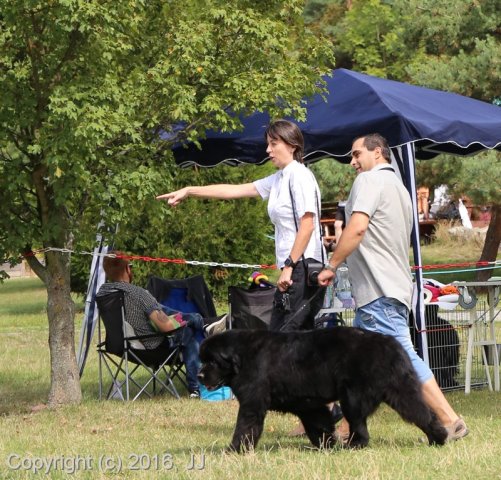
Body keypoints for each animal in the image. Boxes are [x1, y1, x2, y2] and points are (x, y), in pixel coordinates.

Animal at [196, 324, 446, 452]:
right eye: (203, 360)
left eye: (212, 361)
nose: (199, 375)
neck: (242, 357)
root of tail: (390, 343)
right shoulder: (307, 405)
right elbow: (319, 425)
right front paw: (327, 446)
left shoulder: (252, 402)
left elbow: (245, 427)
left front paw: (234, 450)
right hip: (401, 389)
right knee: (422, 412)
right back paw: (439, 437)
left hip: (352, 397)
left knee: (360, 426)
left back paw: (354, 446)